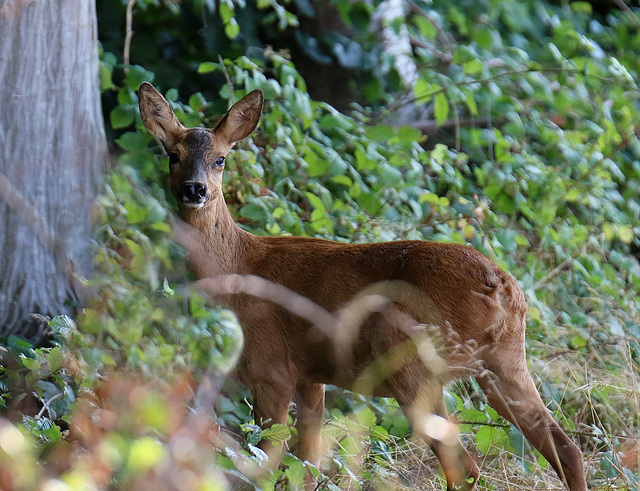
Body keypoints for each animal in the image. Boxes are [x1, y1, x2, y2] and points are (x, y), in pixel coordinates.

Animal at [139, 82, 584, 490]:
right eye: (173, 155)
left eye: (220, 158)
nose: (194, 189)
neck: (238, 266)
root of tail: (505, 292)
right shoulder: (310, 373)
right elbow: (306, 461)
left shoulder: (271, 368)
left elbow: (266, 459)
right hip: (506, 363)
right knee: (565, 447)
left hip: (409, 352)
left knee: (464, 465)